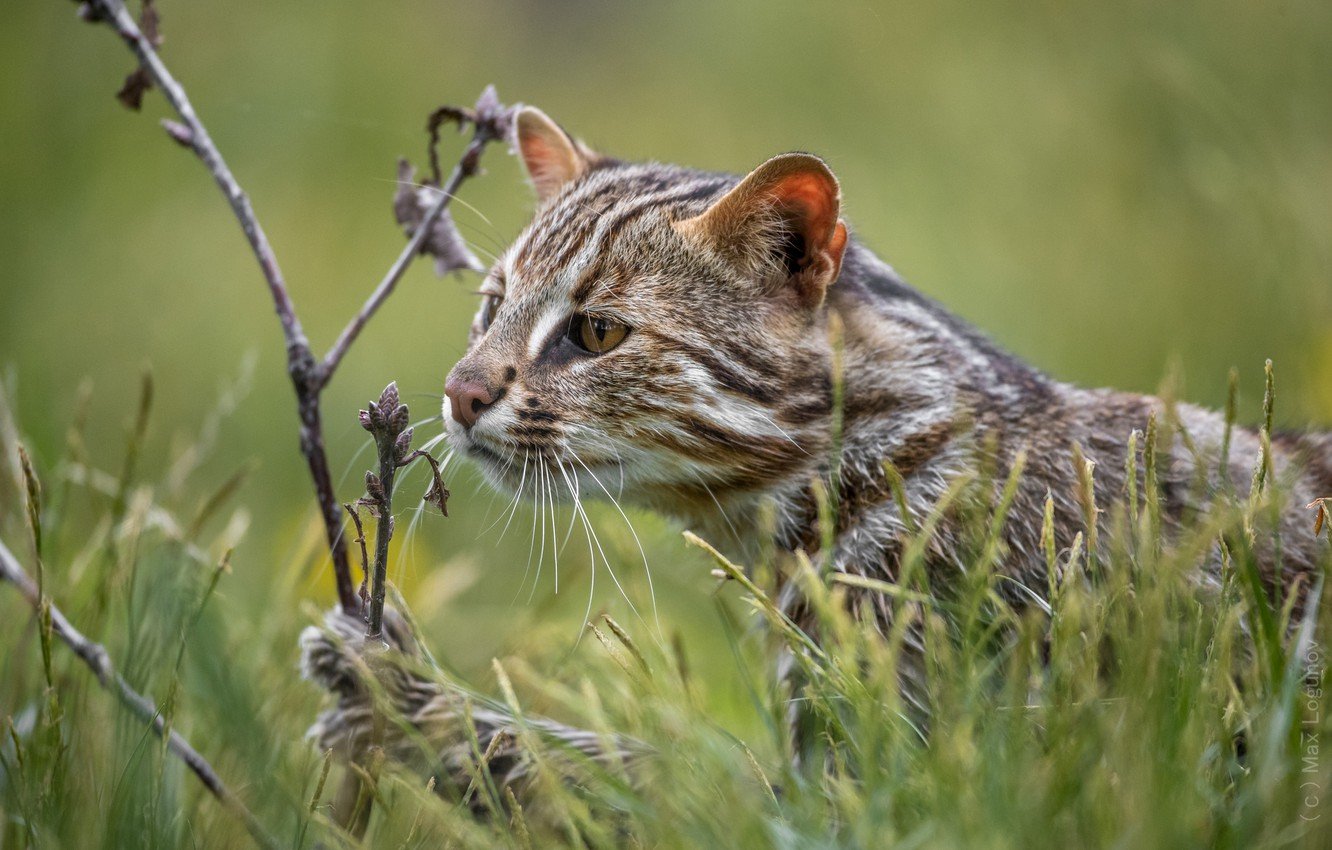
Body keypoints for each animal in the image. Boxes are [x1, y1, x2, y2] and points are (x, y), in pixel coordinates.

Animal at [305, 106, 1332, 799]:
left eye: (596, 332)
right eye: (491, 305)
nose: (461, 391)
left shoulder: (874, 784)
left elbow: (652, 769)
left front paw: (406, 693)